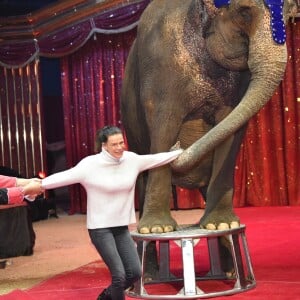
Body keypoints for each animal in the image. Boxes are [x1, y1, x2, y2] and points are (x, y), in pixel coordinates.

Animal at [120, 0, 298, 234]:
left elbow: (230, 126)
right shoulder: (160, 66)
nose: (178, 148)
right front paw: (156, 229)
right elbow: (163, 125)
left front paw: (223, 223)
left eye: (290, 11)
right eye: (244, 12)